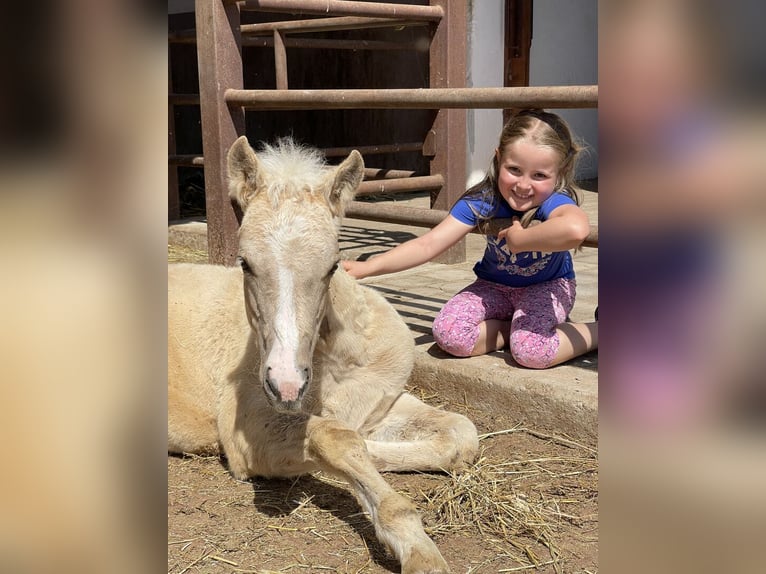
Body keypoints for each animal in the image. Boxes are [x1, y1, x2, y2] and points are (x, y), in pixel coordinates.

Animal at [168, 136, 479, 573]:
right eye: (244, 263)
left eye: (333, 265)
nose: (286, 385)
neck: (337, 363)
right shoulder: (248, 430)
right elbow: (338, 437)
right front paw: (419, 551)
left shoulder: (381, 402)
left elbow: (458, 434)